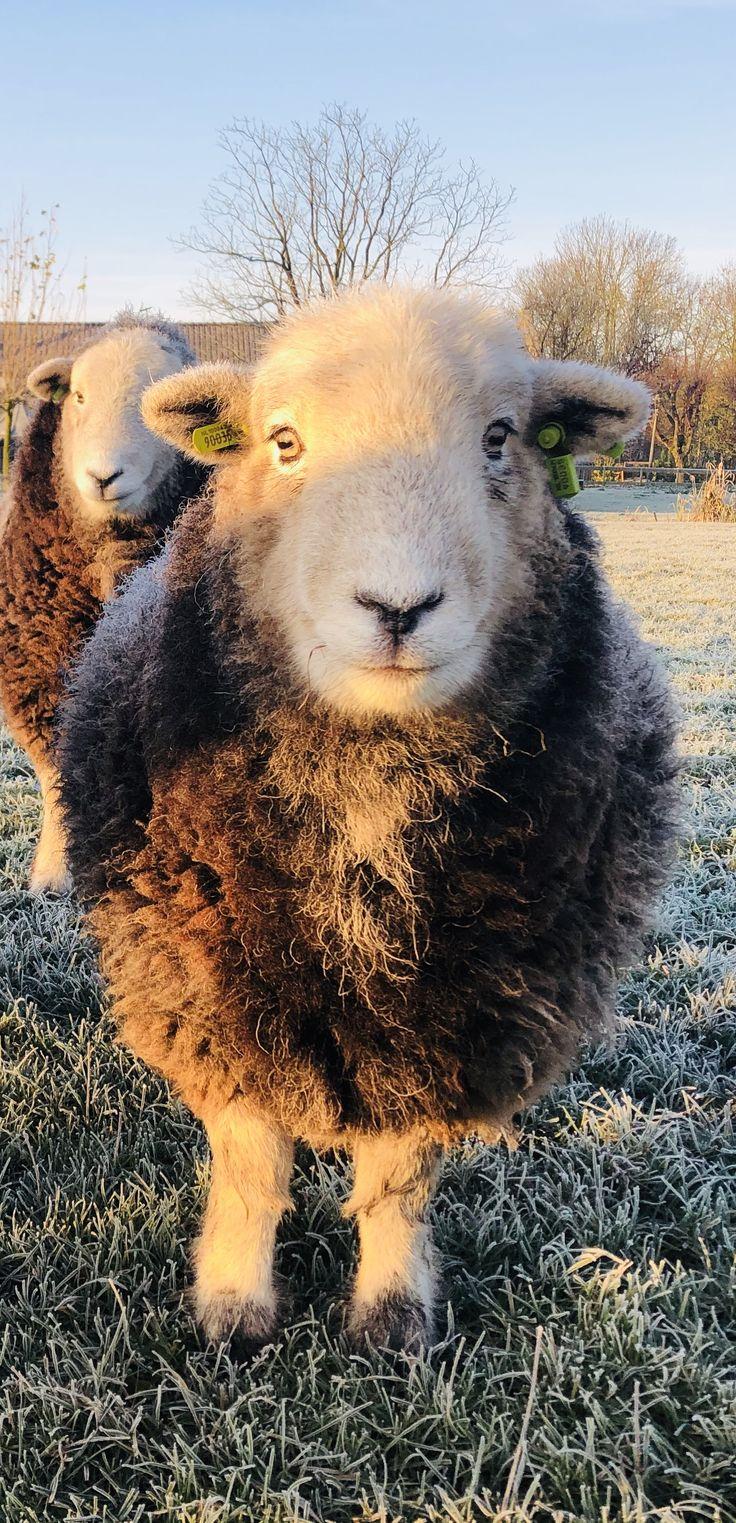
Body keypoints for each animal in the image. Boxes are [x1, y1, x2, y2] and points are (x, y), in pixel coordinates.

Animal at [58, 286, 678, 1353]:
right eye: (284, 442)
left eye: (501, 438)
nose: (397, 605)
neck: (373, 783)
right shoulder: (210, 978)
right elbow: (252, 1161)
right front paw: (234, 1309)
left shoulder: (457, 1004)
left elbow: (400, 1177)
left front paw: (391, 1317)